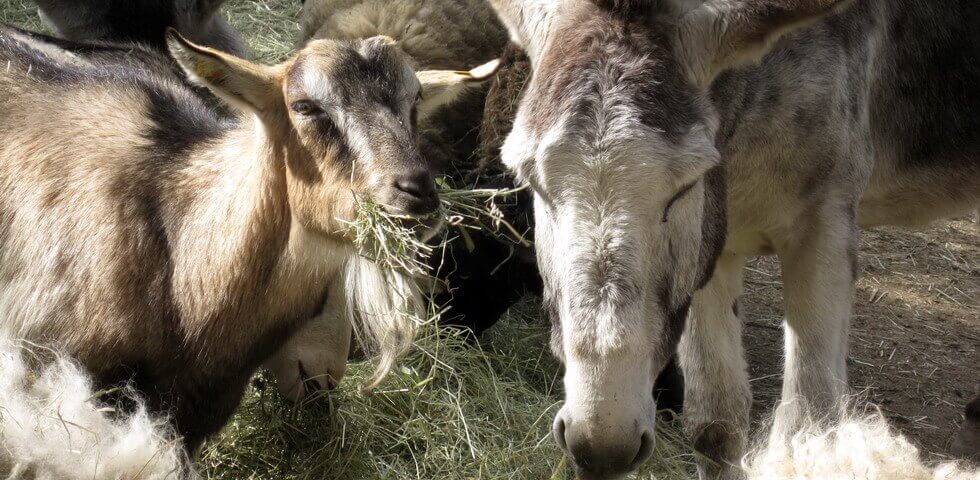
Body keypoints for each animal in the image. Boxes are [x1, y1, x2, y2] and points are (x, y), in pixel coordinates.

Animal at [488, 0, 980, 478]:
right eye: (532, 182)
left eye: (684, 187)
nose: (603, 442)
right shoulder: (712, 249)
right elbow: (715, 426)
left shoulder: (824, 220)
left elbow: (809, 435)